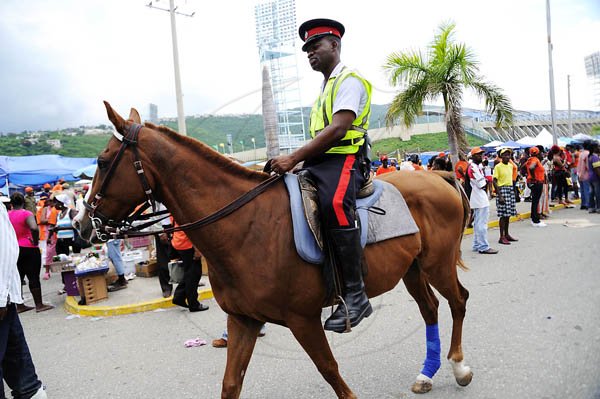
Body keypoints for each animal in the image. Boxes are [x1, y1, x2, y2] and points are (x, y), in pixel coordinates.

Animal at [75, 101, 472, 398]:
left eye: (103, 162)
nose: (81, 225)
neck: (247, 226)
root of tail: (439, 176)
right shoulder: (243, 320)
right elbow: (230, 384)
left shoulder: (303, 319)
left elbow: (331, 372)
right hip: (412, 269)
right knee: (430, 309)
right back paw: (427, 373)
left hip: (436, 264)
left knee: (458, 300)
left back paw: (458, 366)